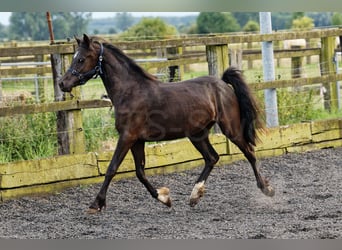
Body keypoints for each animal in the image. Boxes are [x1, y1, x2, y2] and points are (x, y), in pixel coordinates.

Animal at [57, 33, 274, 213]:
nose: (62, 83)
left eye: (81, 59)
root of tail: (222, 84)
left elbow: (112, 168)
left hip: (231, 129)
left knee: (249, 152)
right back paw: (194, 196)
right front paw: (165, 198)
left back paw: (267, 189)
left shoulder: (127, 136)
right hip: (197, 134)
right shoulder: (137, 140)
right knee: (212, 158)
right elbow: (140, 172)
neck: (130, 92)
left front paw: (96, 204)